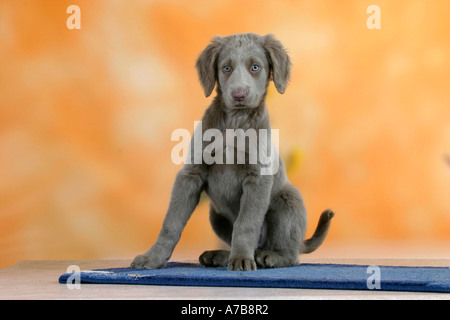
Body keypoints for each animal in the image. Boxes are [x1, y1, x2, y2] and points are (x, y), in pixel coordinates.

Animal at [131, 33, 334, 272]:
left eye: (255, 67)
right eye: (226, 68)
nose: (239, 95)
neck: (235, 121)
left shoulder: (258, 177)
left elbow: (246, 223)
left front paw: (241, 260)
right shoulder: (191, 174)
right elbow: (171, 222)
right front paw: (152, 258)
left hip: (288, 200)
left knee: (290, 255)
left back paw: (269, 257)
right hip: (215, 214)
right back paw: (219, 256)